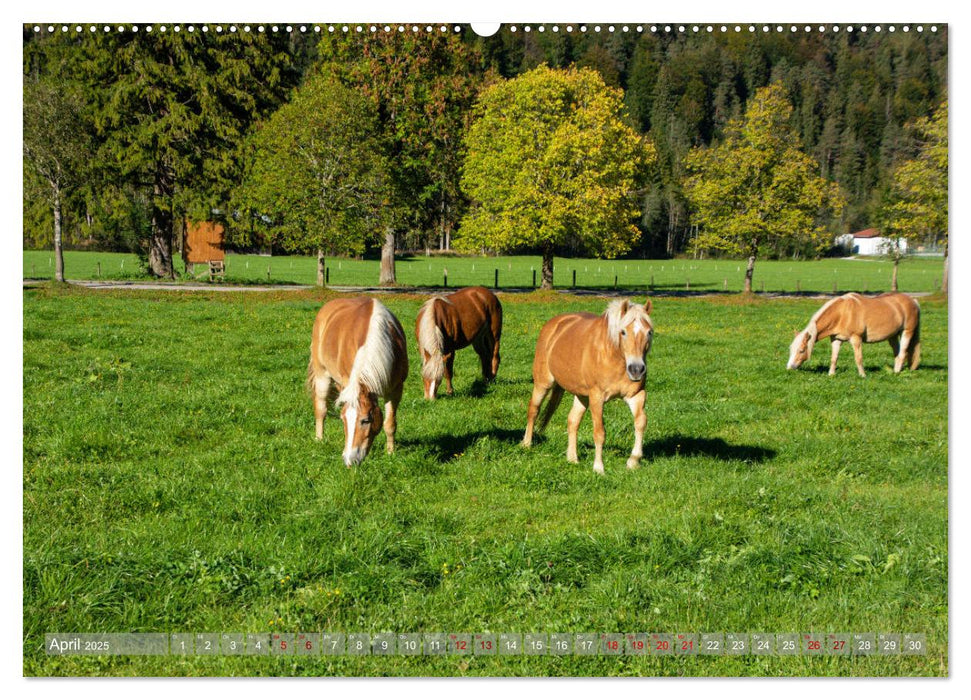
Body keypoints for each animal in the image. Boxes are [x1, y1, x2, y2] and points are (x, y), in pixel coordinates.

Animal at [308, 296, 406, 464]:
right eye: (343, 419)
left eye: (365, 420)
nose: (349, 460)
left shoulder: (395, 390)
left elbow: (390, 423)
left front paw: (390, 453)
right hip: (322, 376)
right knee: (321, 409)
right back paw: (319, 439)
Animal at [524, 298, 652, 474]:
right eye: (623, 332)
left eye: (649, 332)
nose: (636, 369)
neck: (613, 357)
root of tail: (554, 324)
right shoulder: (597, 398)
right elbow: (599, 432)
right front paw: (598, 467)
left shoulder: (636, 395)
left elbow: (641, 423)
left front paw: (633, 461)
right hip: (543, 383)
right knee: (533, 410)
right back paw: (526, 444)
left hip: (582, 395)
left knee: (572, 420)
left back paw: (572, 458)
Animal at [784, 292, 924, 378]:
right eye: (790, 349)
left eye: (801, 350)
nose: (789, 367)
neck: (842, 313)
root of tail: (913, 301)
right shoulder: (836, 339)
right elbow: (834, 358)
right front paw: (831, 374)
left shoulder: (856, 339)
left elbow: (858, 358)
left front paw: (863, 375)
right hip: (893, 336)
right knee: (897, 352)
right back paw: (894, 370)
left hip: (907, 332)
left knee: (903, 352)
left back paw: (896, 373)